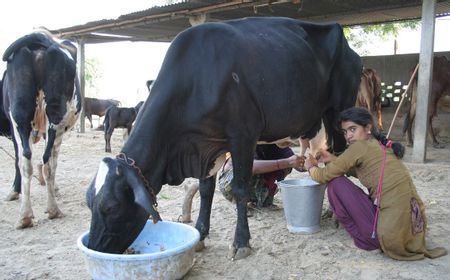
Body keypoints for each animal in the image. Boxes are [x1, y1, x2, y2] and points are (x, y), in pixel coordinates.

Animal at [1, 31, 81, 229]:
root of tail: (37, 36)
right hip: (53, 118)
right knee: (44, 162)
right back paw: (48, 210)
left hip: (21, 116)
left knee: (27, 160)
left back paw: (27, 216)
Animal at [86, 17, 362, 258]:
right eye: (89, 202)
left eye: (111, 207)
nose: (94, 247)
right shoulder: (207, 146)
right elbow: (206, 190)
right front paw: (199, 234)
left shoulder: (243, 136)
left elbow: (240, 188)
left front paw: (241, 242)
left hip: (339, 112)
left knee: (339, 158)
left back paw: (336, 216)